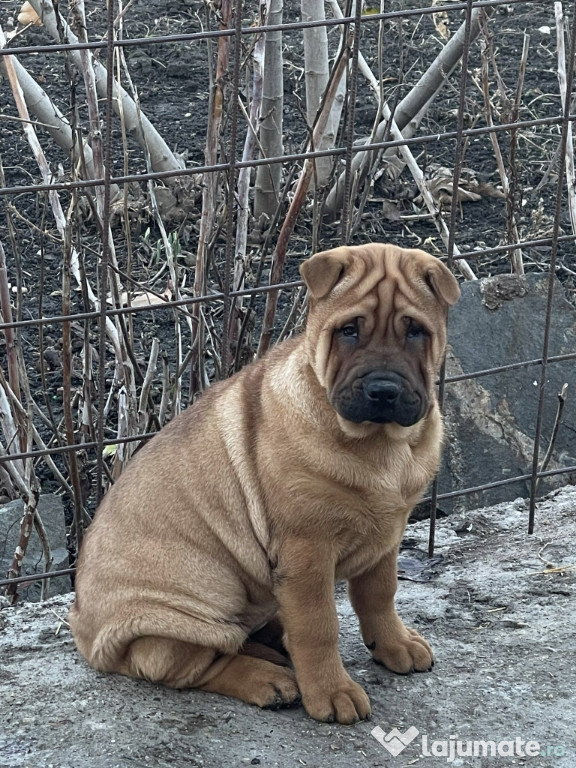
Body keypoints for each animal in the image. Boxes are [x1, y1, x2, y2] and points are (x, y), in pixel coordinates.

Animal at [71, 243, 460, 724]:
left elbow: (379, 595)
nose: (383, 391)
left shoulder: (386, 536)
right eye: (349, 331)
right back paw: (270, 679)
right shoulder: (307, 550)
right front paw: (331, 692)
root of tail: (84, 631)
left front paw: (395, 644)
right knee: (192, 663)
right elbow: (318, 626)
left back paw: (274, 639)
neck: (380, 444)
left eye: (416, 332)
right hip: (202, 596)